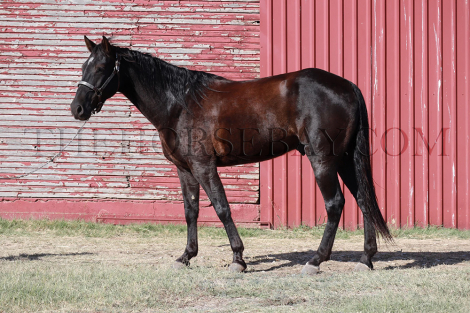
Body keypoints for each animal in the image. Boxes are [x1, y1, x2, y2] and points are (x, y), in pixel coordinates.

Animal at [70, 35, 392, 272]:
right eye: (83, 66)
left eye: (101, 67)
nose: (77, 108)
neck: (179, 103)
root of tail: (347, 86)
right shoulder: (184, 169)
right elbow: (191, 211)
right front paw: (186, 256)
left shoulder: (204, 166)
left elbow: (222, 207)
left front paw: (238, 259)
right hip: (346, 159)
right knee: (363, 200)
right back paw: (366, 259)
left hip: (323, 160)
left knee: (335, 204)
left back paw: (316, 261)